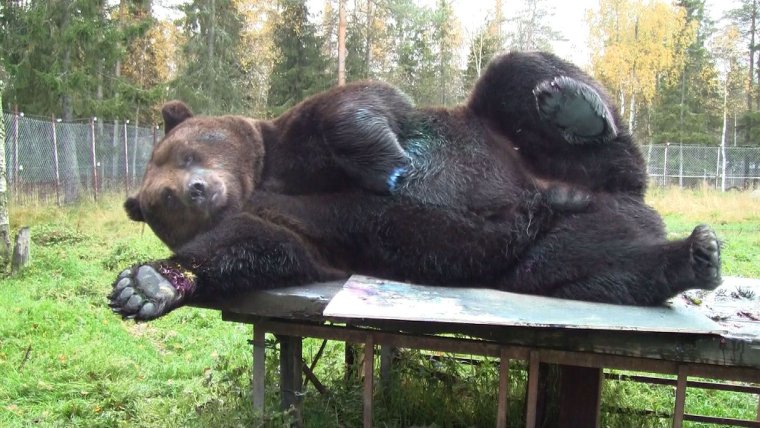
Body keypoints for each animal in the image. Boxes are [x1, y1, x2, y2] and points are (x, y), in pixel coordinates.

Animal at [109, 51, 721, 321]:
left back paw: (571, 106)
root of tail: (620, 194)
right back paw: (694, 255)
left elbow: (357, 106)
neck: (261, 176)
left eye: (189, 150)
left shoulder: (296, 136)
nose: (196, 189)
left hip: (534, 146)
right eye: (162, 198)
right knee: (594, 267)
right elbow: (257, 244)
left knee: (518, 75)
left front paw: (392, 166)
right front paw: (146, 284)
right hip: (547, 245)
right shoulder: (306, 227)